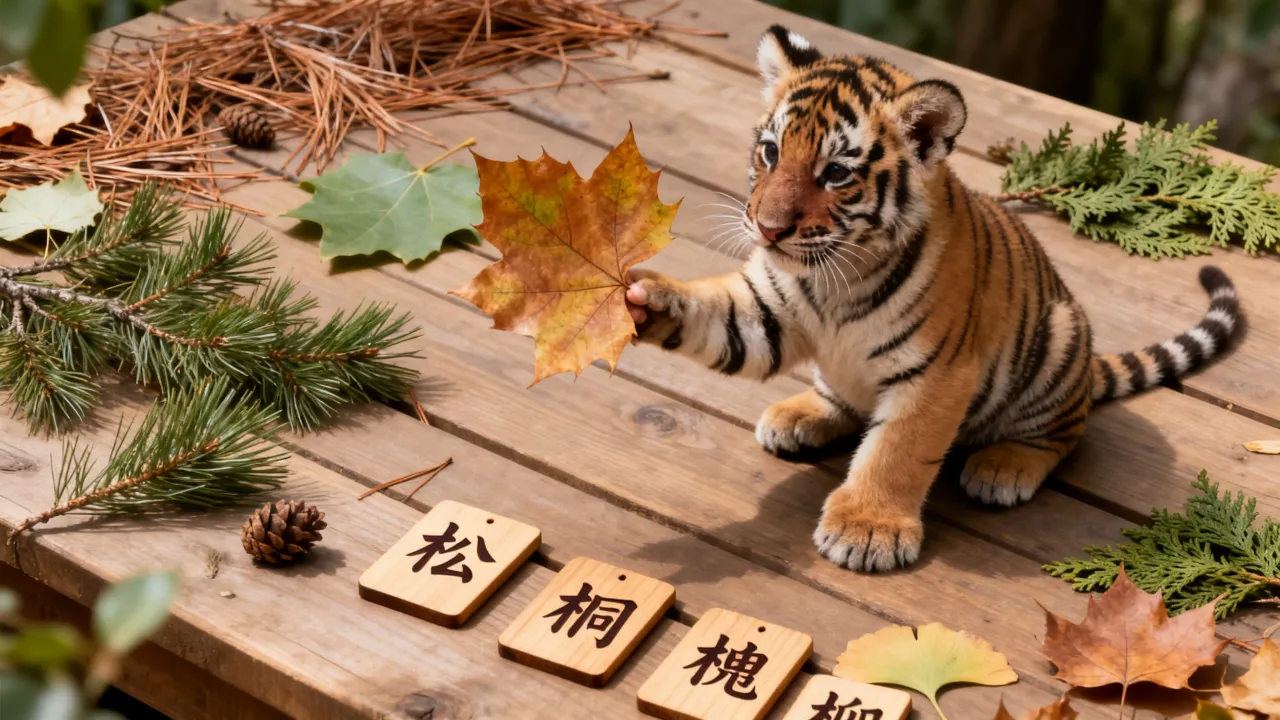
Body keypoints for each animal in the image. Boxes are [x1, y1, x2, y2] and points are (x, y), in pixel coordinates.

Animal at [623, 25, 1242, 572]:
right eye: (771, 152)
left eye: (836, 172)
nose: (768, 229)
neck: (833, 280)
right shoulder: (766, 311)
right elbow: (715, 318)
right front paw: (644, 299)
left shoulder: (935, 373)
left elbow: (895, 451)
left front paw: (866, 530)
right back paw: (799, 414)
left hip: (1059, 341)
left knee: (1063, 433)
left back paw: (1004, 468)